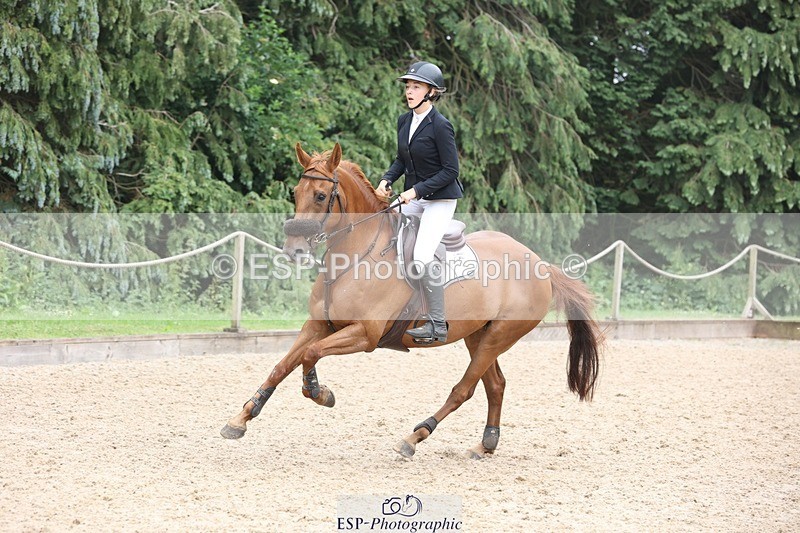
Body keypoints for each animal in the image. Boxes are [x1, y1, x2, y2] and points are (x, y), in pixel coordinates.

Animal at [221, 142, 602, 459]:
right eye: (295, 192)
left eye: (320, 195)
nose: (294, 250)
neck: (354, 256)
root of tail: (540, 264)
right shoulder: (319, 324)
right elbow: (282, 364)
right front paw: (241, 418)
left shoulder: (365, 334)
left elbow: (309, 356)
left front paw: (320, 392)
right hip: (478, 334)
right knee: (495, 385)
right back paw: (485, 444)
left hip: (498, 336)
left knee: (463, 389)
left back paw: (414, 437)